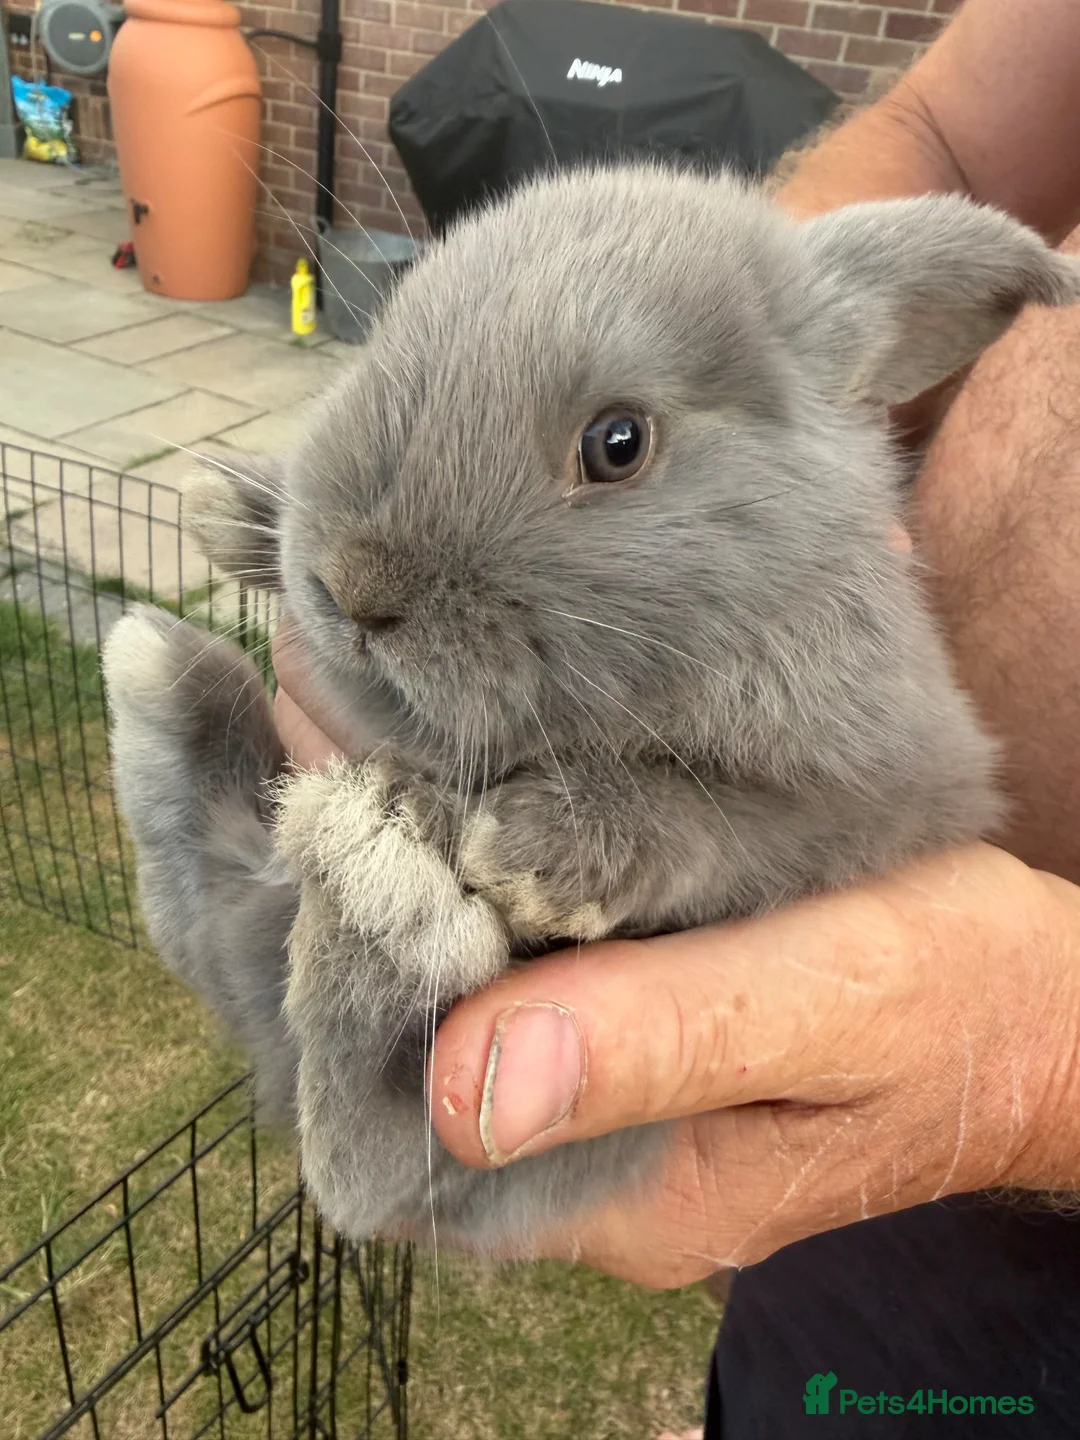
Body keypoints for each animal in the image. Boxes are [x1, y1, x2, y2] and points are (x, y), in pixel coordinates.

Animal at [102, 163, 1080, 1255]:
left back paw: (381, 882)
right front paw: (232, 508)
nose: (355, 591)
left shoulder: (899, 792)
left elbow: (735, 823)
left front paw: (539, 850)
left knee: (378, 1172)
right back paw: (173, 677)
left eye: (617, 444)